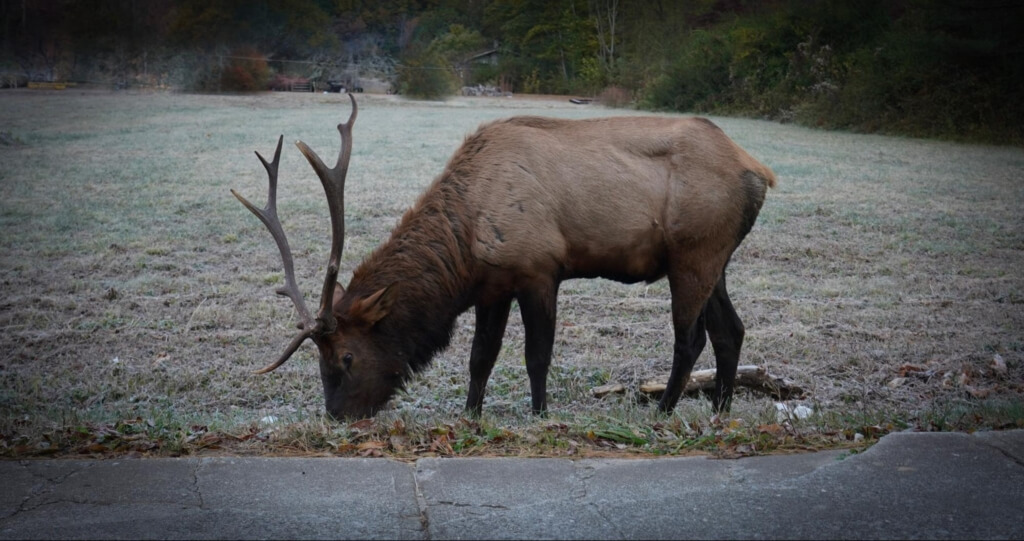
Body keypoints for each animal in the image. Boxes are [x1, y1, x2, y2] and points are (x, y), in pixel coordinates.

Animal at [234, 95, 774, 420]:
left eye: (345, 356)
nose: (338, 416)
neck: (465, 246)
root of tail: (759, 171)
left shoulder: (539, 269)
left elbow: (537, 355)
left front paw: (540, 414)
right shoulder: (492, 286)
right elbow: (481, 357)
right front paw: (470, 414)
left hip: (694, 253)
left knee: (691, 337)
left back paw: (662, 411)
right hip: (714, 258)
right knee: (731, 330)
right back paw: (721, 410)